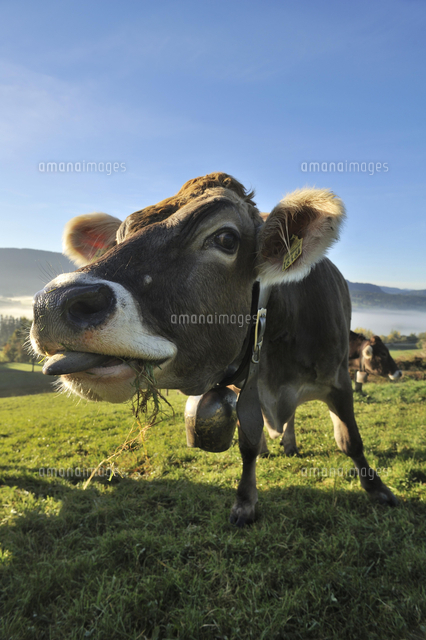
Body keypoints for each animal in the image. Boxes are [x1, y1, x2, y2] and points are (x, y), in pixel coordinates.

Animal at [30, 172, 397, 526]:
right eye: (118, 240)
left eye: (225, 239)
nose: (52, 305)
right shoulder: (244, 387)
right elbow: (248, 444)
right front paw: (246, 502)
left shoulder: (339, 378)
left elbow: (349, 439)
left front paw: (377, 489)